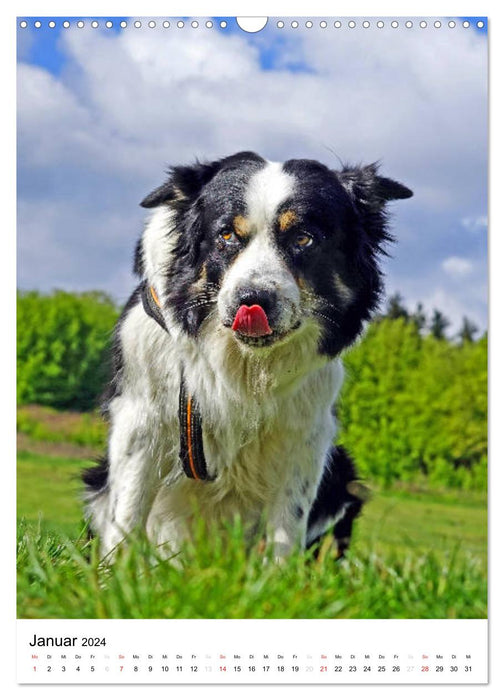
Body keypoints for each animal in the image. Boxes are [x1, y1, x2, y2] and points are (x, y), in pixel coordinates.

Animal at [82, 150, 412, 560]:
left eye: (303, 238)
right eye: (226, 235)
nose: (252, 300)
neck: (244, 363)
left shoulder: (306, 431)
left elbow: (288, 521)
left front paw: (279, 577)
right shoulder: (141, 416)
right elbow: (126, 513)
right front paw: (116, 574)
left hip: (342, 473)